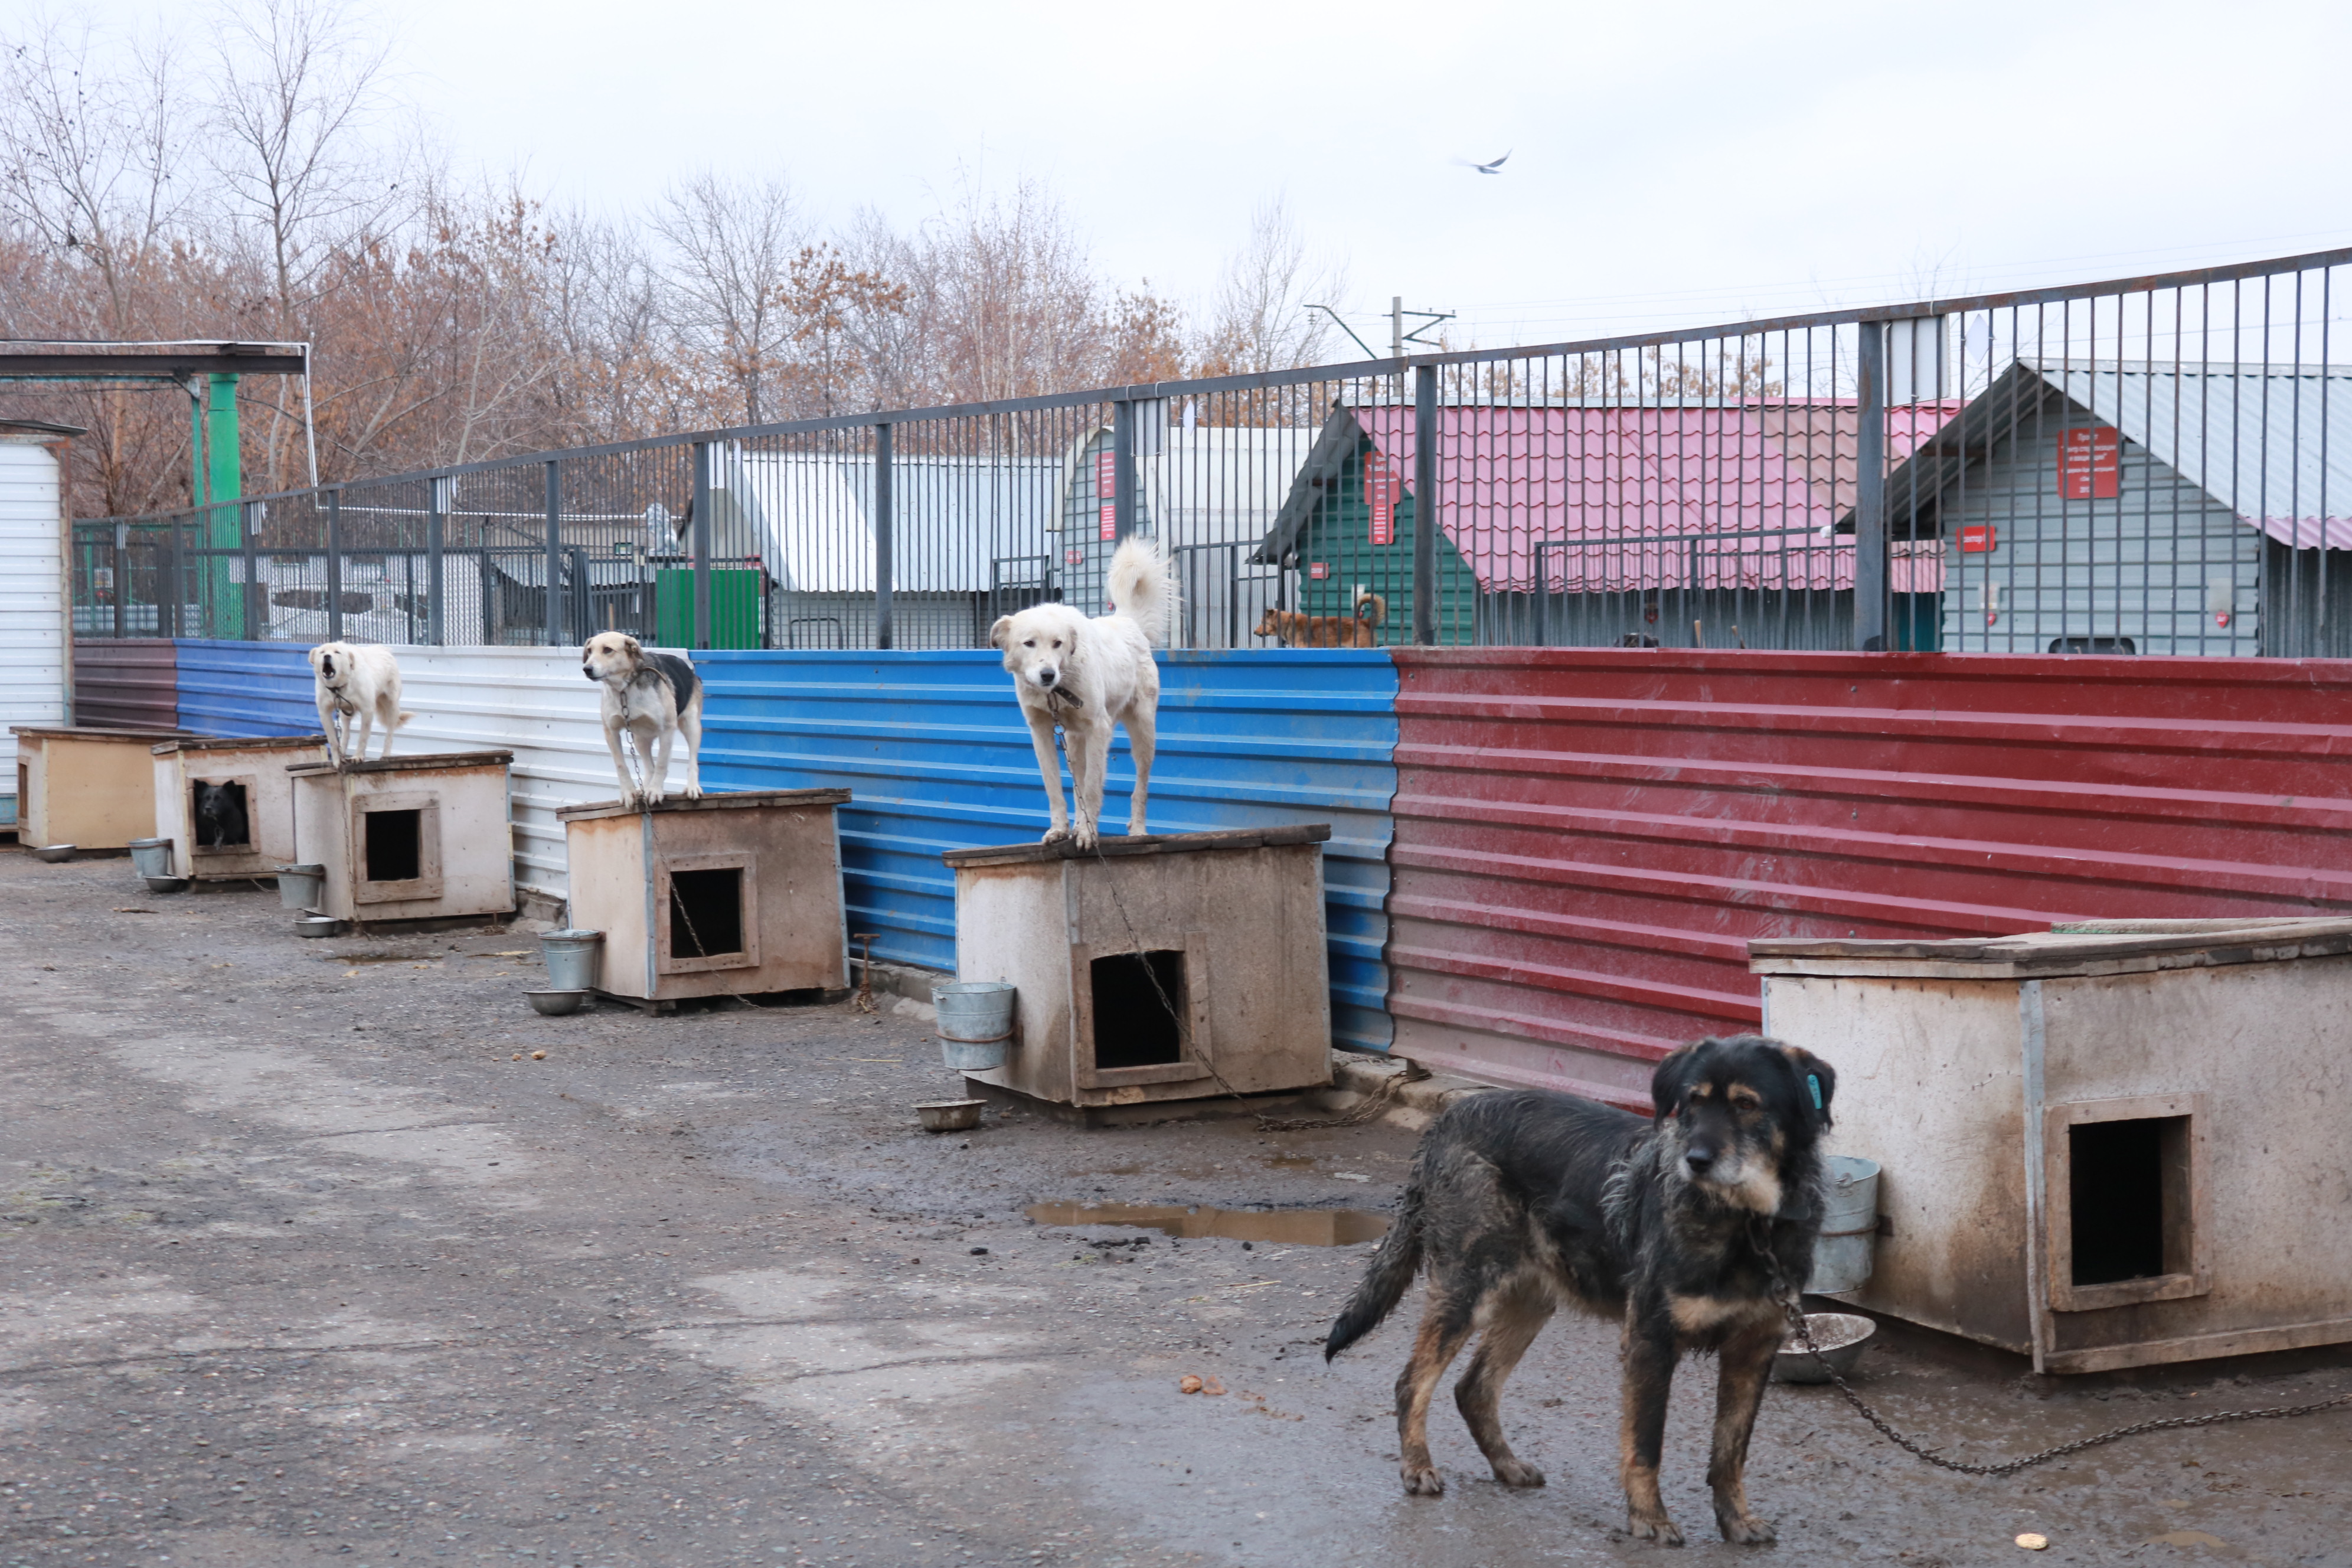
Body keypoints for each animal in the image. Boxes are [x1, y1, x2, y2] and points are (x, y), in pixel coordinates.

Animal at [308, 635, 409, 762]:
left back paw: (386, 755)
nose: (327, 656)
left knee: (390, 733)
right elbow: (333, 740)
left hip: (392, 706)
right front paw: (336, 761)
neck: (339, 687)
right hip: (345, 713)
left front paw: (358, 756)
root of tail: (384, 648)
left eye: (337, 652)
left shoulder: (367, 710)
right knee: (346, 733)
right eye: (322, 652)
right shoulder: (324, 712)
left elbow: (363, 736)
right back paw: (342, 752)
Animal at [988, 535, 1171, 846]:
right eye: (1029, 643)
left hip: (1144, 733)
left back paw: (1138, 830)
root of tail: (1127, 622)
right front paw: (1059, 829)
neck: (1057, 690)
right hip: (1074, 741)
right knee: (1078, 787)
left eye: (1058, 643)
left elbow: (1094, 788)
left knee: (1140, 787)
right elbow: (1055, 789)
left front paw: (1087, 834)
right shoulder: (1041, 731)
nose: (1047, 675)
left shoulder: (1099, 728)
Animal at [1326, 1044, 1834, 1542]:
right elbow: (1646, 1444)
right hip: (1467, 1289)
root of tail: (1449, 1118)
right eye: (1693, 1102)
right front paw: (1649, 1518)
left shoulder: (1753, 1349)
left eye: (1747, 1105)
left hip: (1532, 1301)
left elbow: (1731, 1450)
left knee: (1474, 1387)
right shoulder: (1651, 1339)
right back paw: (1417, 1467)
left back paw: (1507, 1466)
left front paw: (1735, 1520)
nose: (1694, 1160)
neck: (1749, 1226)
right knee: (1412, 1382)